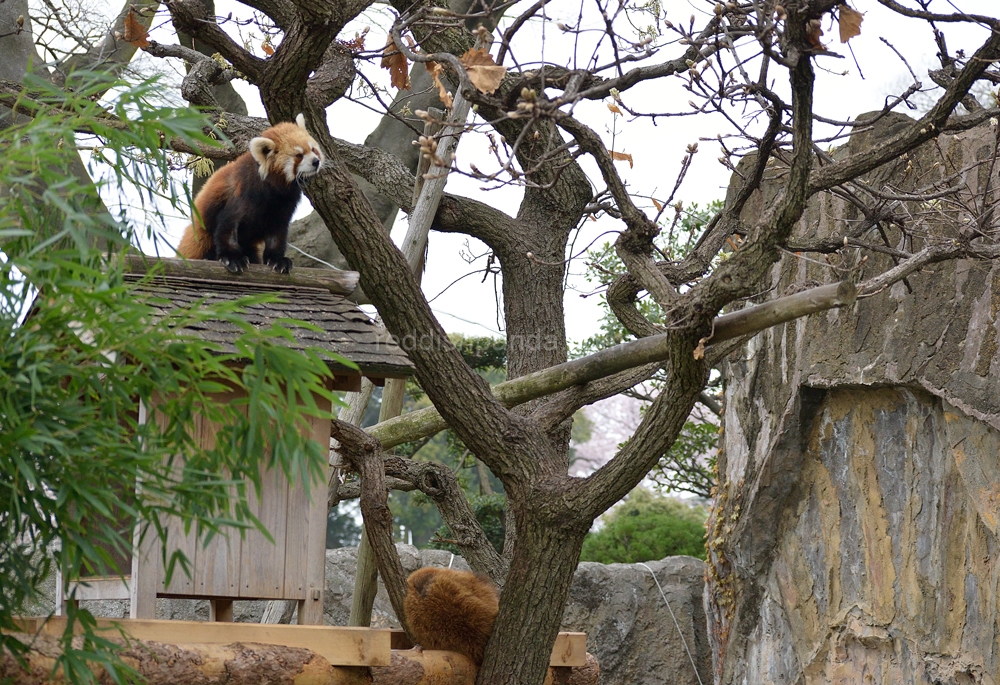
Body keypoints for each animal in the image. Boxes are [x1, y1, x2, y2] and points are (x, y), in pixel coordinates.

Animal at [176, 113, 324, 272]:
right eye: (299, 155)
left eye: (313, 150)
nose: (316, 161)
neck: (275, 188)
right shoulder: (243, 192)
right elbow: (227, 226)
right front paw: (232, 258)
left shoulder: (284, 203)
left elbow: (277, 232)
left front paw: (277, 259)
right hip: (202, 238)